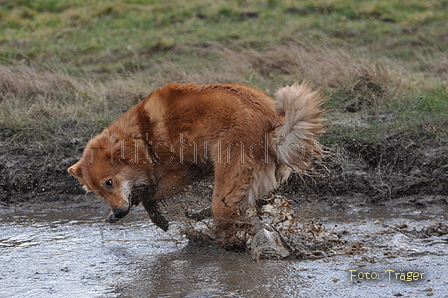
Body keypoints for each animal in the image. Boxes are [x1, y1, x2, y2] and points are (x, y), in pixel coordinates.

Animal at [67, 82, 326, 248]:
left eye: (109, 183)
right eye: (99, 193)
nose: (119, 213)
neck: (140, 136)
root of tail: (272, 125)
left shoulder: (183, 171)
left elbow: (151, 195)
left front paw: (158, 217)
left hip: (227, 179)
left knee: (226, 217)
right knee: (241, 204)